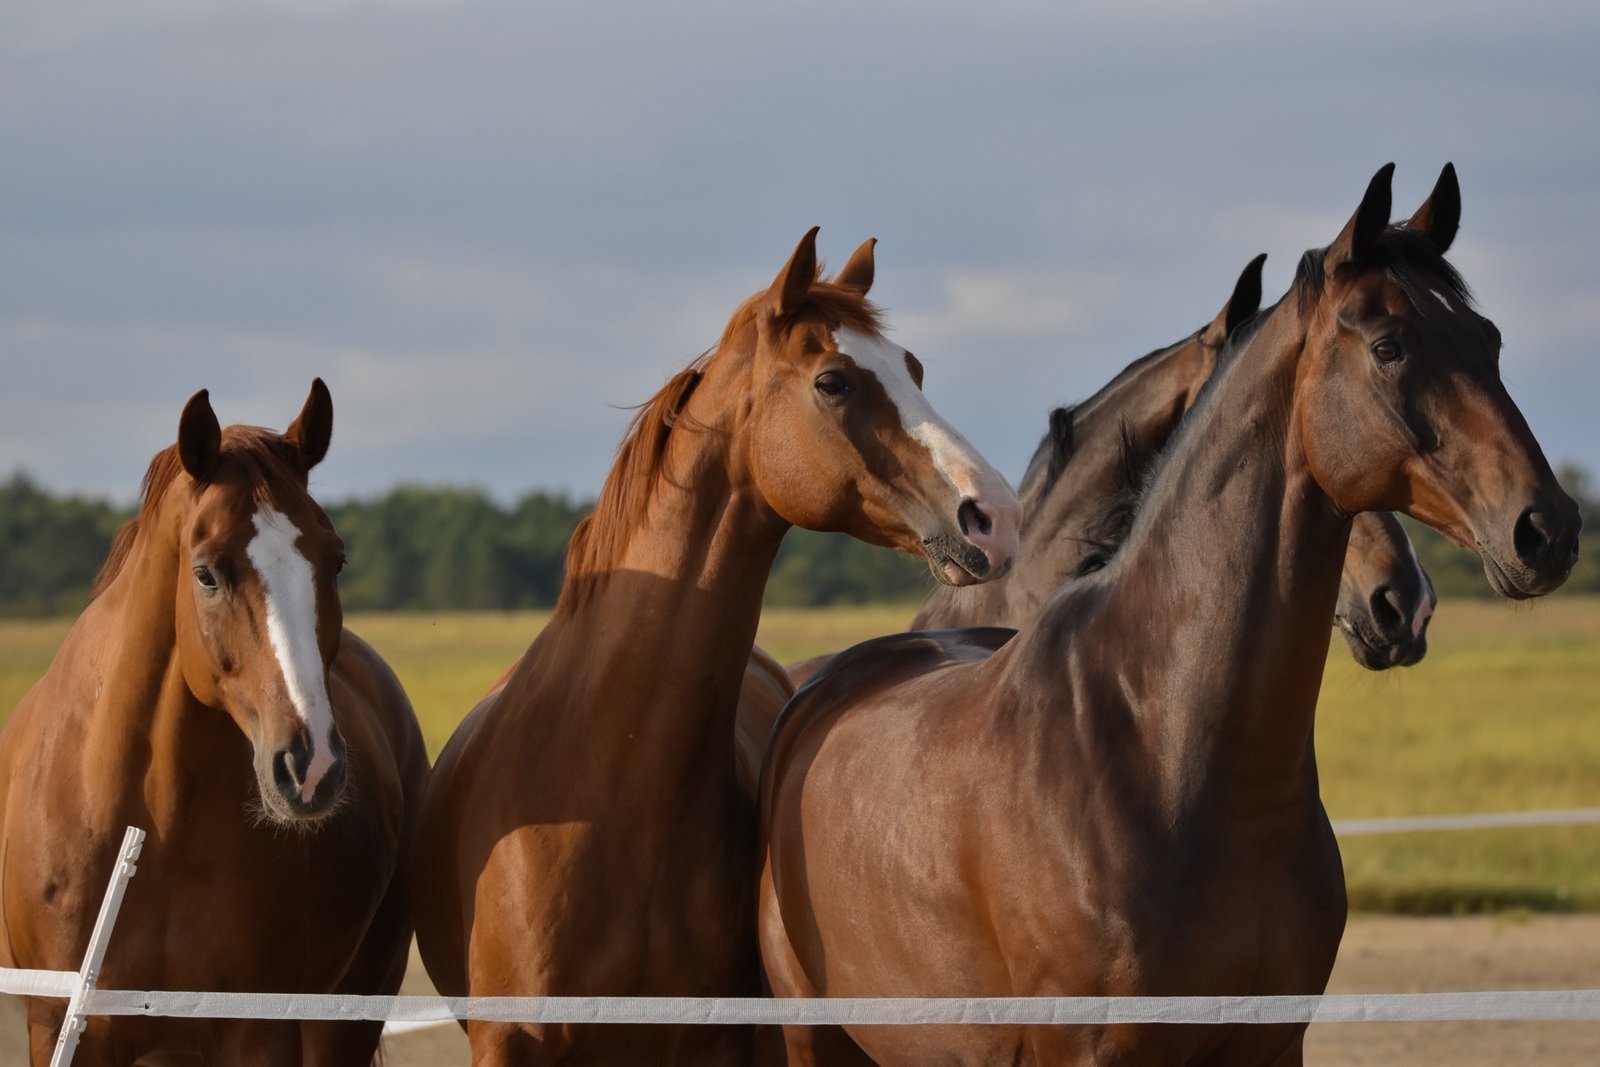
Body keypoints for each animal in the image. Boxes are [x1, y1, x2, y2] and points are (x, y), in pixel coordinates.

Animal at [0, 381, 430, 1066]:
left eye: (335, 561)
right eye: (205, 572)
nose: (311, 765)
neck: (148, 827)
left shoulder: (258, 1032)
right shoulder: (62, 1029)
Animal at [758, 164, 1580, 1066]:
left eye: (1488, 339)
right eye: (1390, 346)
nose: (1546, 529)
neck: (1163, 743)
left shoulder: (1272, 1044)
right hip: (809, 1031)